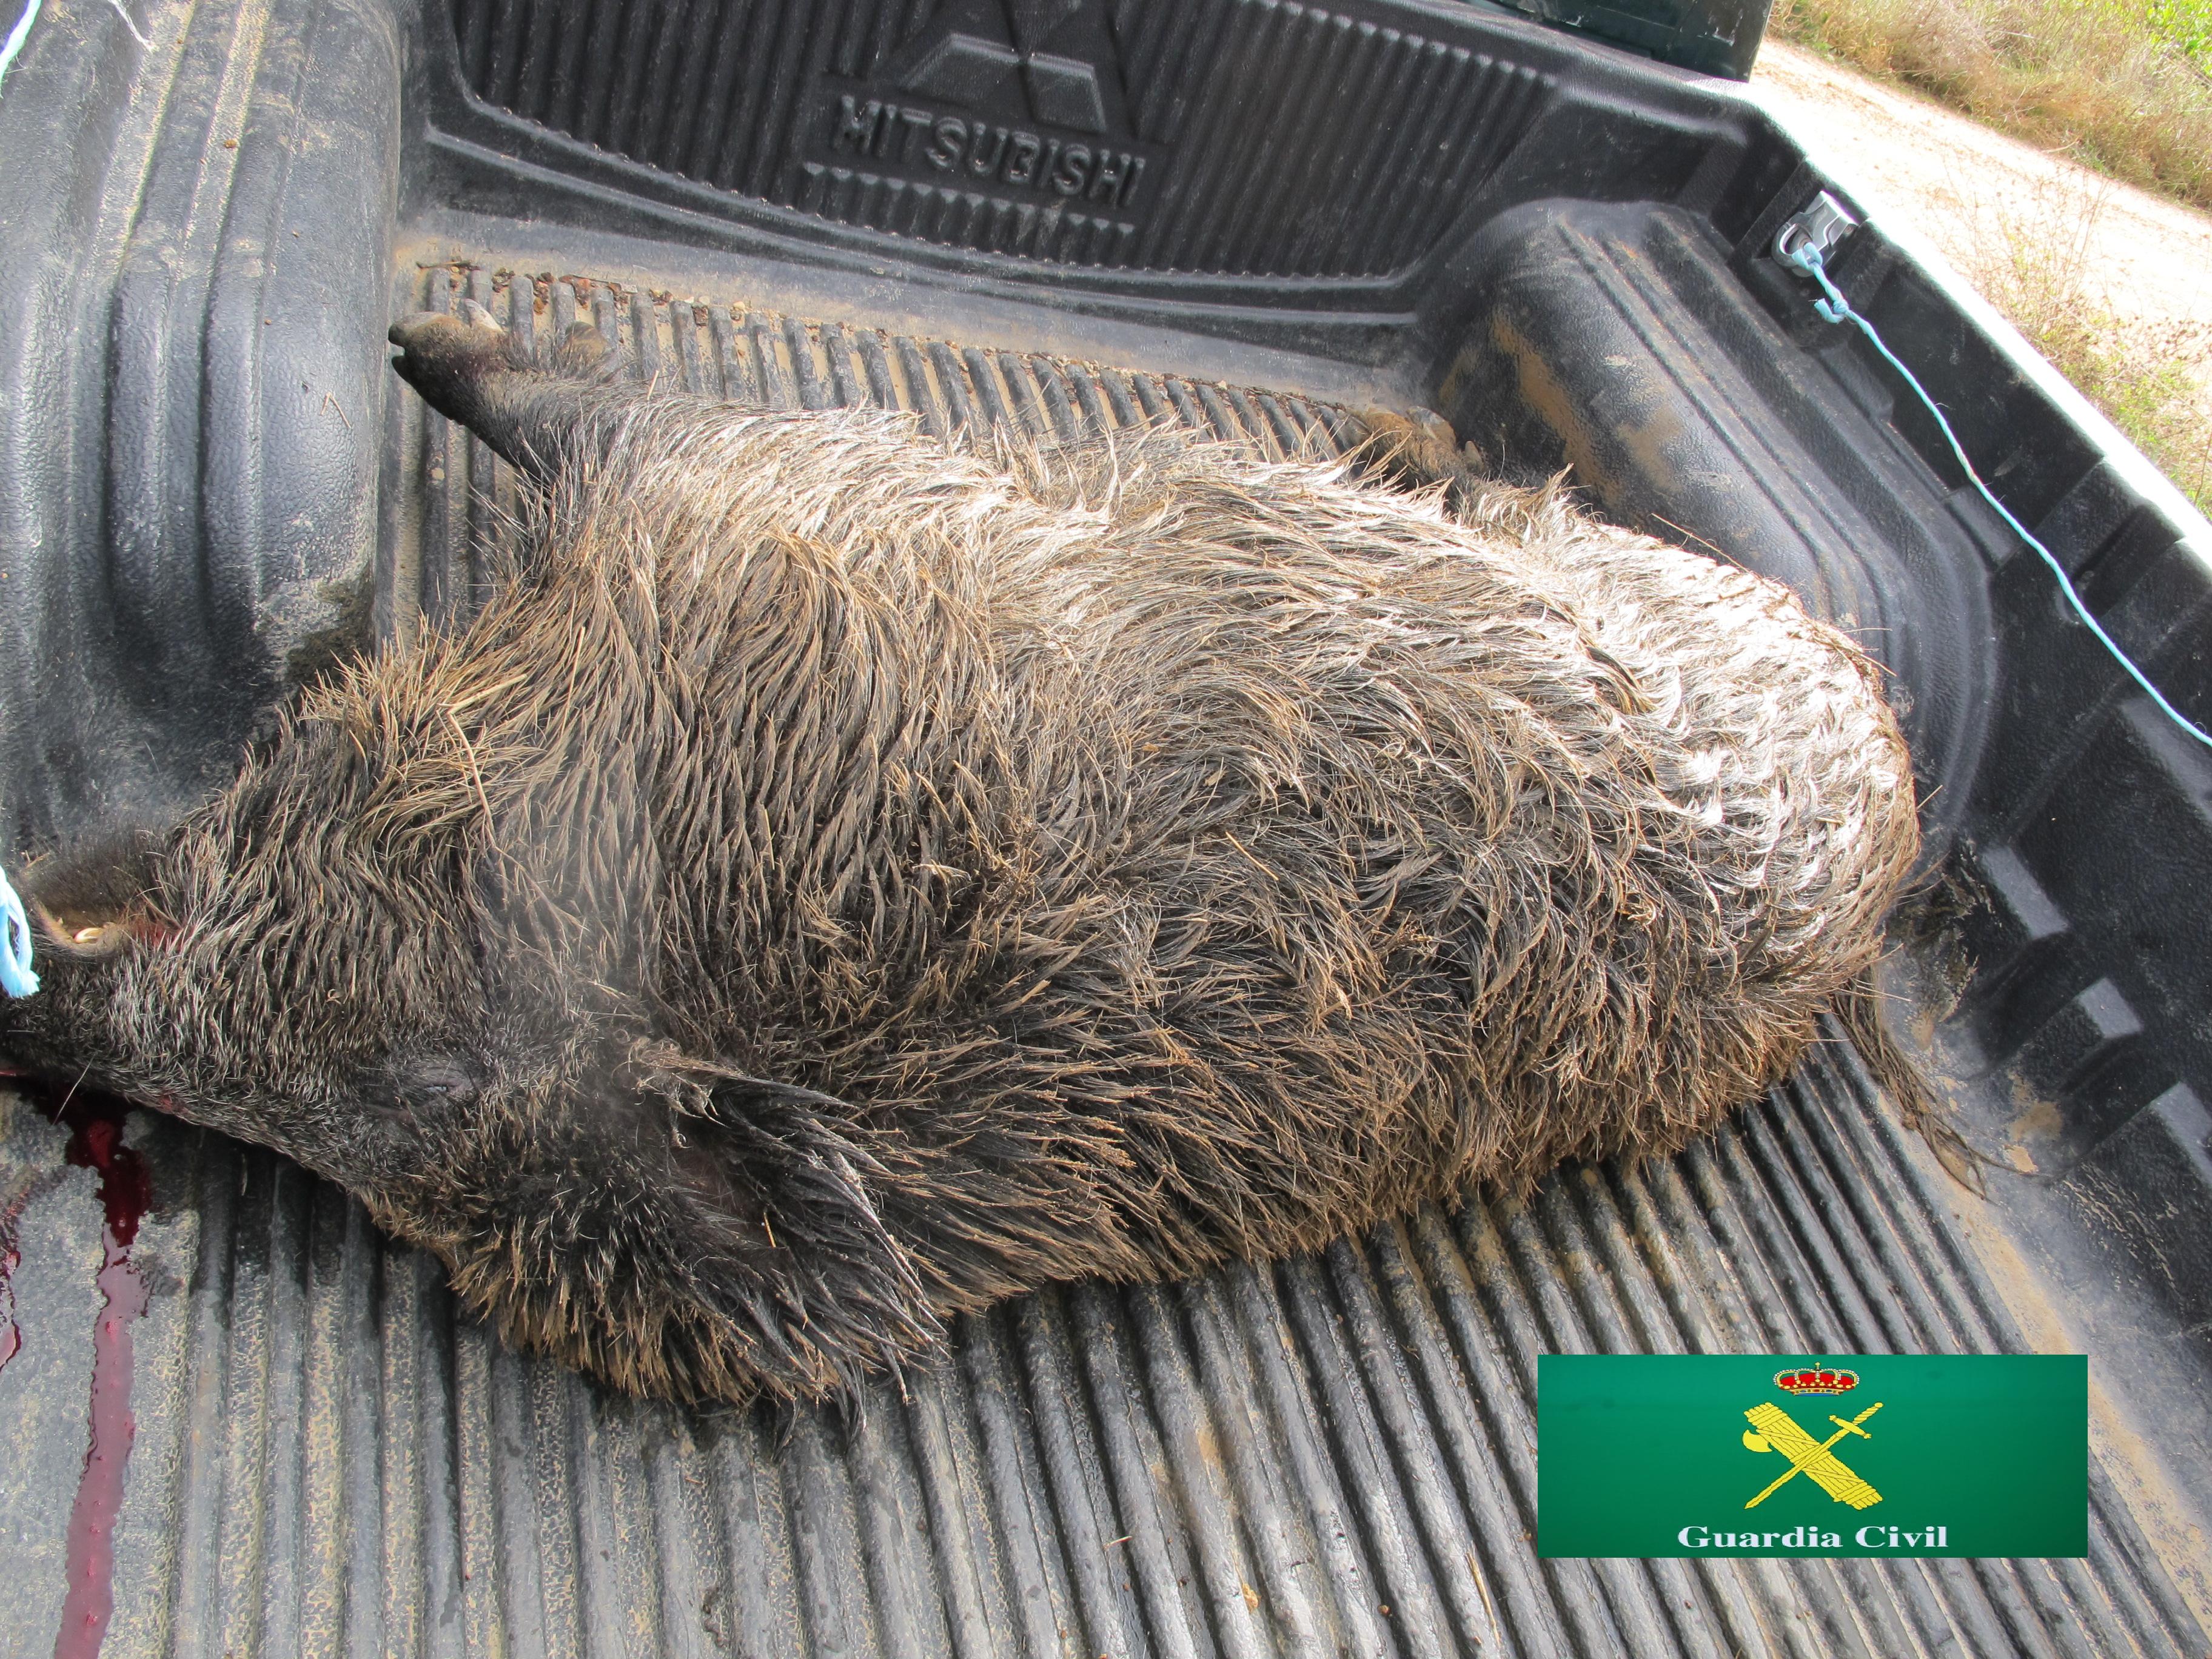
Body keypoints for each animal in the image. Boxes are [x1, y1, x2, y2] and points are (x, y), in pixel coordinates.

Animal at [0, 301, 1919, 1403]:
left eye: (426, 1105)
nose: (31, 1028)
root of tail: (1890, 750)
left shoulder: (752, 478)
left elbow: (593, 404)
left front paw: (423, 337)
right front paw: (412, 339)